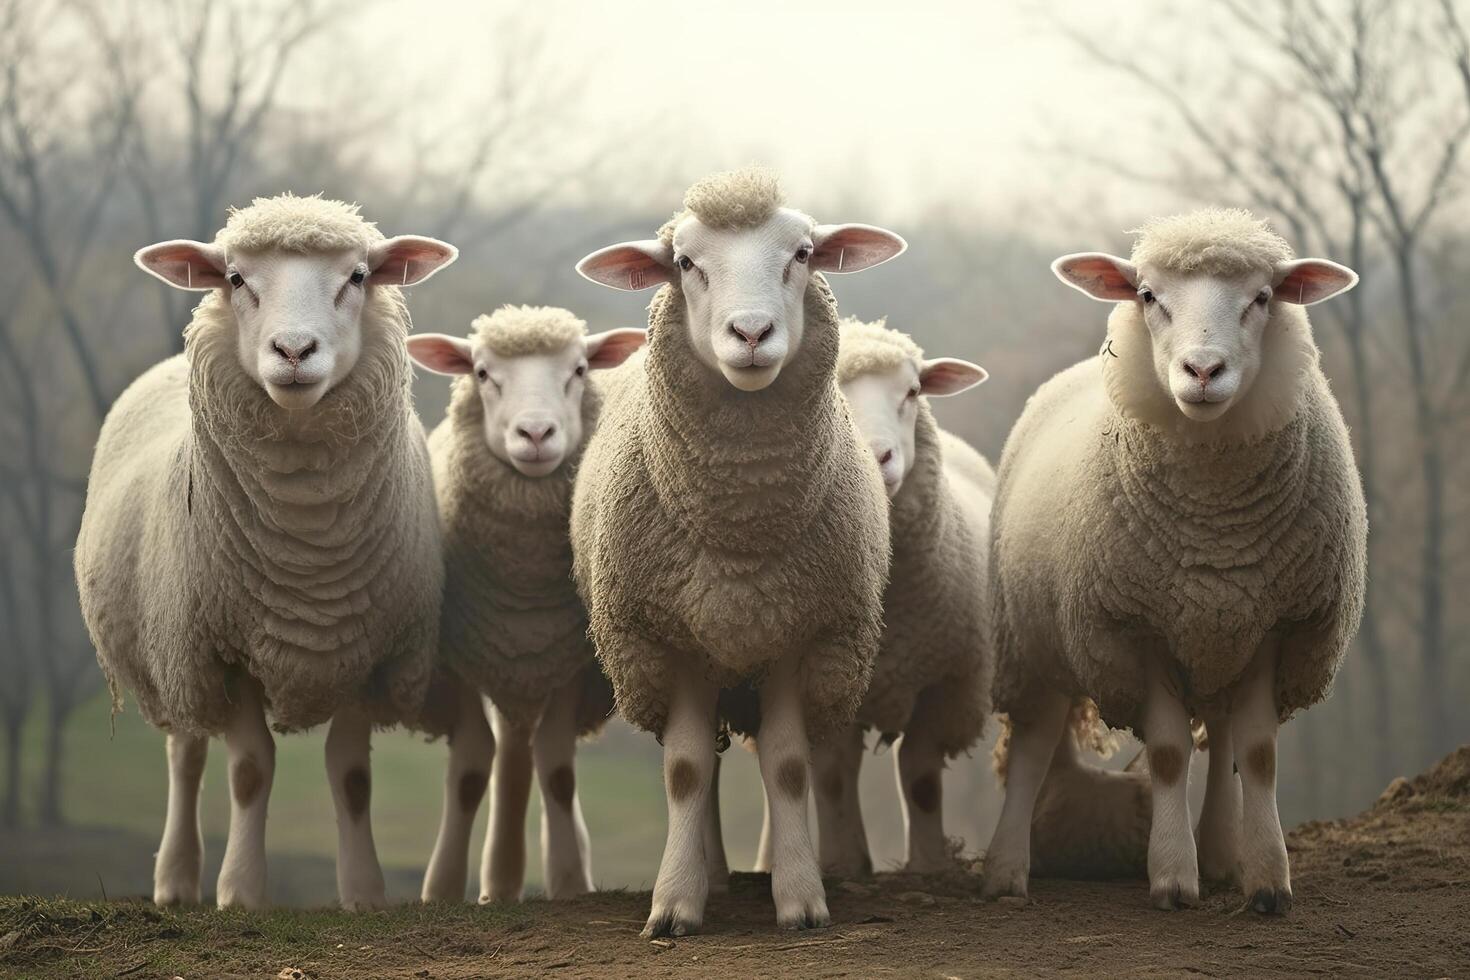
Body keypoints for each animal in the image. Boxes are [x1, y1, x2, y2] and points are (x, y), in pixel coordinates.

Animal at [69, 193, 455, 910]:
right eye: (236, 279)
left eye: (358, 276)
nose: (294, 349)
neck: (307, 549)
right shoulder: (221, 650)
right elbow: (249, 770)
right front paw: (240, 891)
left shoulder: (369, 647)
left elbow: (351, 775)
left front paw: (363, 891)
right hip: (175, 644)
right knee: (187, 752)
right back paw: (176, 879)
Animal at [408, 307, 649, 905]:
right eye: (482, 373)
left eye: (580, 369)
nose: (536, 433)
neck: (523, 587)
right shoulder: (458, 662)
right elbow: (472, 771)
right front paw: (443, 887)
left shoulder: (571, 662)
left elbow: (557, 770)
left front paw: (569, 880)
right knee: (510, 753)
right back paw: (499, 882)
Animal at [567, 166, 899, 934]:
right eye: (685, 263)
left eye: (803, 254)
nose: (752, 333)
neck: (741, 530)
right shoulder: (671, 639)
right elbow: (686, 771)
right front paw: (675, 905)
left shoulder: (798, 633)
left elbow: (789, 768)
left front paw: (801, 899)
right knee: (703, 766)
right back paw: (711, 875)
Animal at [758, 318, 987, 875]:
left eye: (913, 391)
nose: (876, 456)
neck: (895, 615)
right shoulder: (824, 676)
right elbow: (832, 773)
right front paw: (844, 864)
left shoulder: (943, 685)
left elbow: (921, 778)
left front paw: (929, 865)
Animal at [981, 208, 1370, 922]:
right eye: (1147, 296)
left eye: (1263, 298)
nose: (1203, 369)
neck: (1215, 530)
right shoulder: (1136, 630)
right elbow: (1165, 756)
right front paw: (1171, 879)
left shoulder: (1275, 623)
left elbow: (1257, 754)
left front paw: (1266, 881)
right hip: (1032, 639)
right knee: (1034, 740)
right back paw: (1005, 871)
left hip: (1218, 640)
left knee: (1220, 740)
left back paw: (1219, 852)